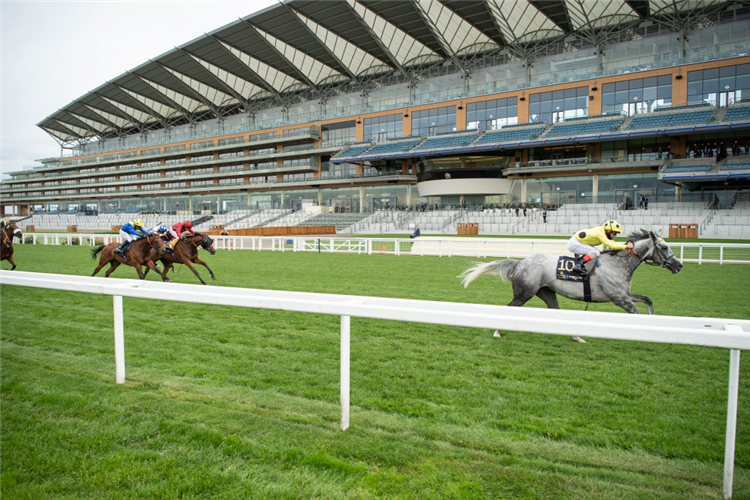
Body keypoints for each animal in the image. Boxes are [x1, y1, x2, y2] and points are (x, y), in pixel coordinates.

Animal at [462, 231, 684, 342]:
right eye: (664, 247)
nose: (679, 265)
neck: (618, 264)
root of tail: (520, 262)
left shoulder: (625, 294)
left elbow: (647, 299)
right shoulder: (619, 298)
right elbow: (638, 314)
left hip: (547, 293)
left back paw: (576, 336)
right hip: (524, 293)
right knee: (509, 309)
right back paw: (497, 331)